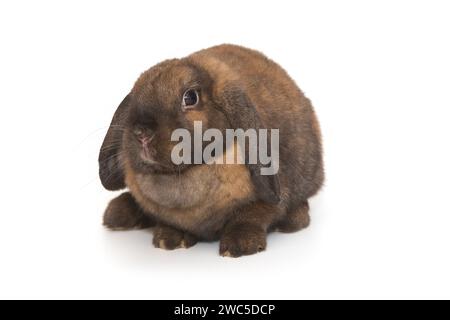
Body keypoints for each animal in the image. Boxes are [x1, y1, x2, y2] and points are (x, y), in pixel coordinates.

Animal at [98, 44, 324, 258]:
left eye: (190, 97)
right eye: (135, 99)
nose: (141, 132)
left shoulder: (270, 199)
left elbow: (251, 215)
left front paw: (240, 245)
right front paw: (171, 238)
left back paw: (294, 221)